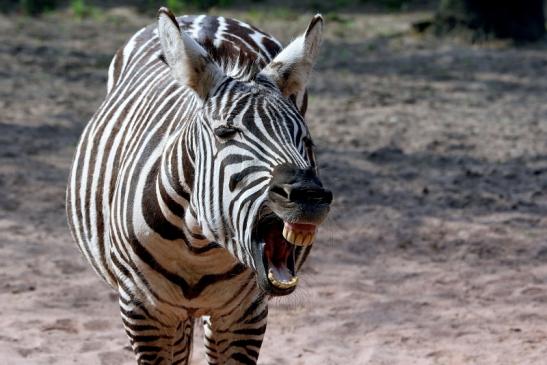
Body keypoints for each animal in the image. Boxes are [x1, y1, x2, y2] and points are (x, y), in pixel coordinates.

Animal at [68, 7, 334, 362]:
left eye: (306, 141)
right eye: (225, 132)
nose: (308, 195)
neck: (198, 247)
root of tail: (208, 16)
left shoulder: (245, 314)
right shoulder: (143, 311)